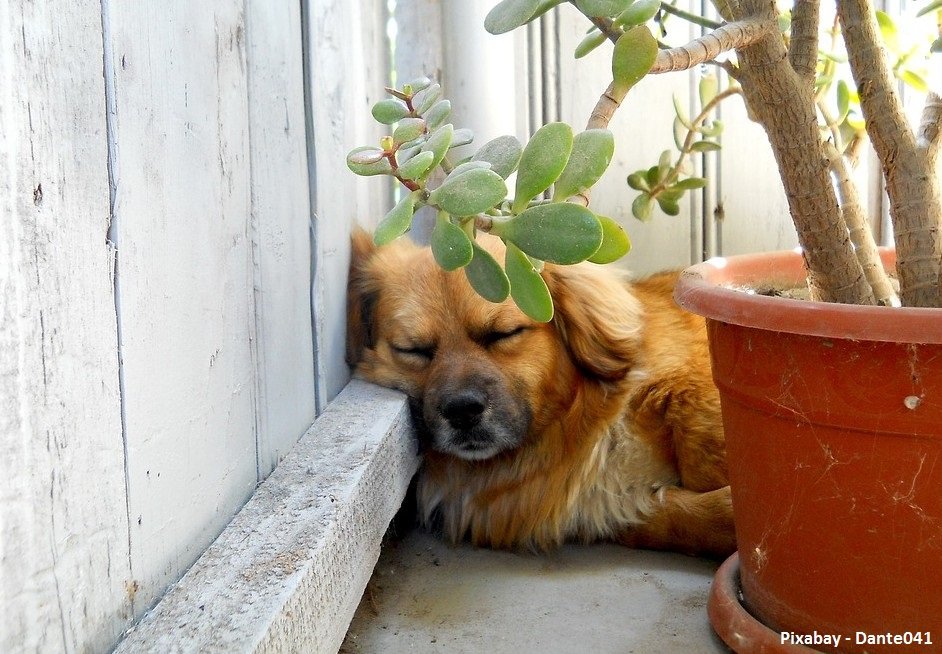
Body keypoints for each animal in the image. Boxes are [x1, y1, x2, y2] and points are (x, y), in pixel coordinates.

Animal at [346, 231, 736, 560]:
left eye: (504, 333)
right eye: (414, 351)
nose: (461, 411)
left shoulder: (686, 386)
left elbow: (702, 445)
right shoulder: (614, 505)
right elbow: (676, 519)